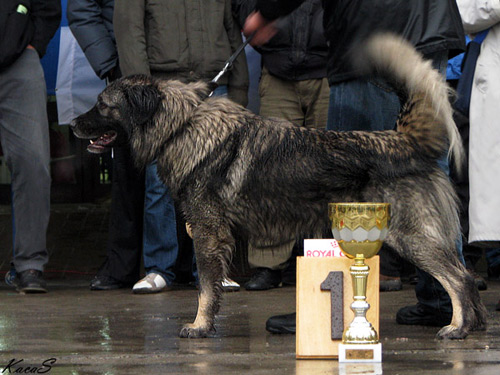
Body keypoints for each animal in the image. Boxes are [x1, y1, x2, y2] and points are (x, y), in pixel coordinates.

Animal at [70, 35, 484, 340]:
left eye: (102, 105)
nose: (72, 124)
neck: (181, 125)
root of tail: (400, 140)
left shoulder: (206, 232)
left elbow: (206, 287)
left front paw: (200, 326)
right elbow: (212, 287)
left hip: (406, 235)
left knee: (459, 277)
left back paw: (458, 327)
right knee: (461, 274)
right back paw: (475, 324)